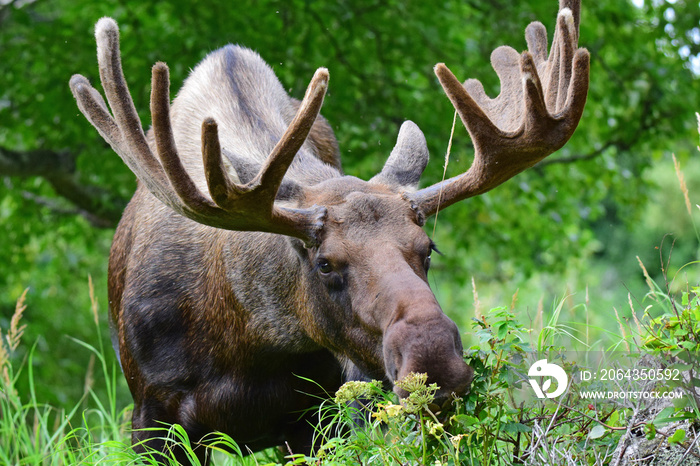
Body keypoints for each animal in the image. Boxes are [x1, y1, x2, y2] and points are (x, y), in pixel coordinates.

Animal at [69, 0, 584, 462]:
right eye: (325, 263)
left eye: (428, 249)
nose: (433, 363)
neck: (247, 343)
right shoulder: (152, 414)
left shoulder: (320, 414)